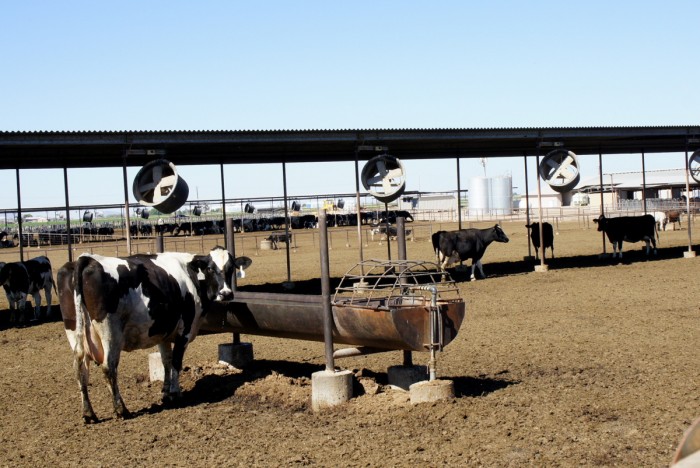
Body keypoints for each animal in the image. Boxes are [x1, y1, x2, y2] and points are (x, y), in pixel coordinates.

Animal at [58, 247, 252, 422]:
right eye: (210, 268)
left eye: (231, 268)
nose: (226, 294)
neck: (192, 274)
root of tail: (87, 259)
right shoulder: (185, 331)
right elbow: (176, 362)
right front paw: (175, 393)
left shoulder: (162, 333)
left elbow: (166, 361)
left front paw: (166, 392)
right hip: (110, 333)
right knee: (109, 367)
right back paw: (121, 409)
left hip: (74, 331)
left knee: (80, 369)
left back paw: (88, 413)